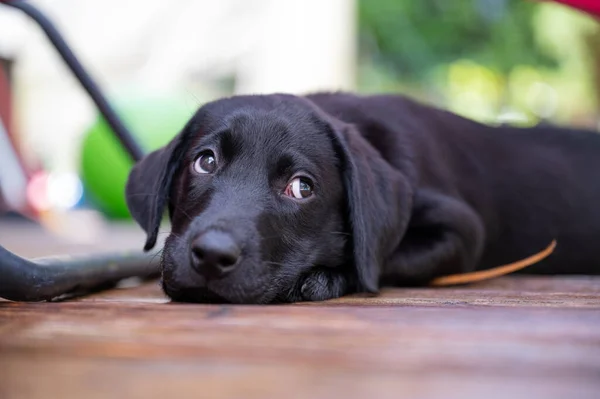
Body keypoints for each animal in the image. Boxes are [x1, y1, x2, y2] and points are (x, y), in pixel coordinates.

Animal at [125, 94, 600, 304]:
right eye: (205, 161)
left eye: (301, 187)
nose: (211, 255)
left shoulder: (462, 232)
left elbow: (379, 258)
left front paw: (322, 279)